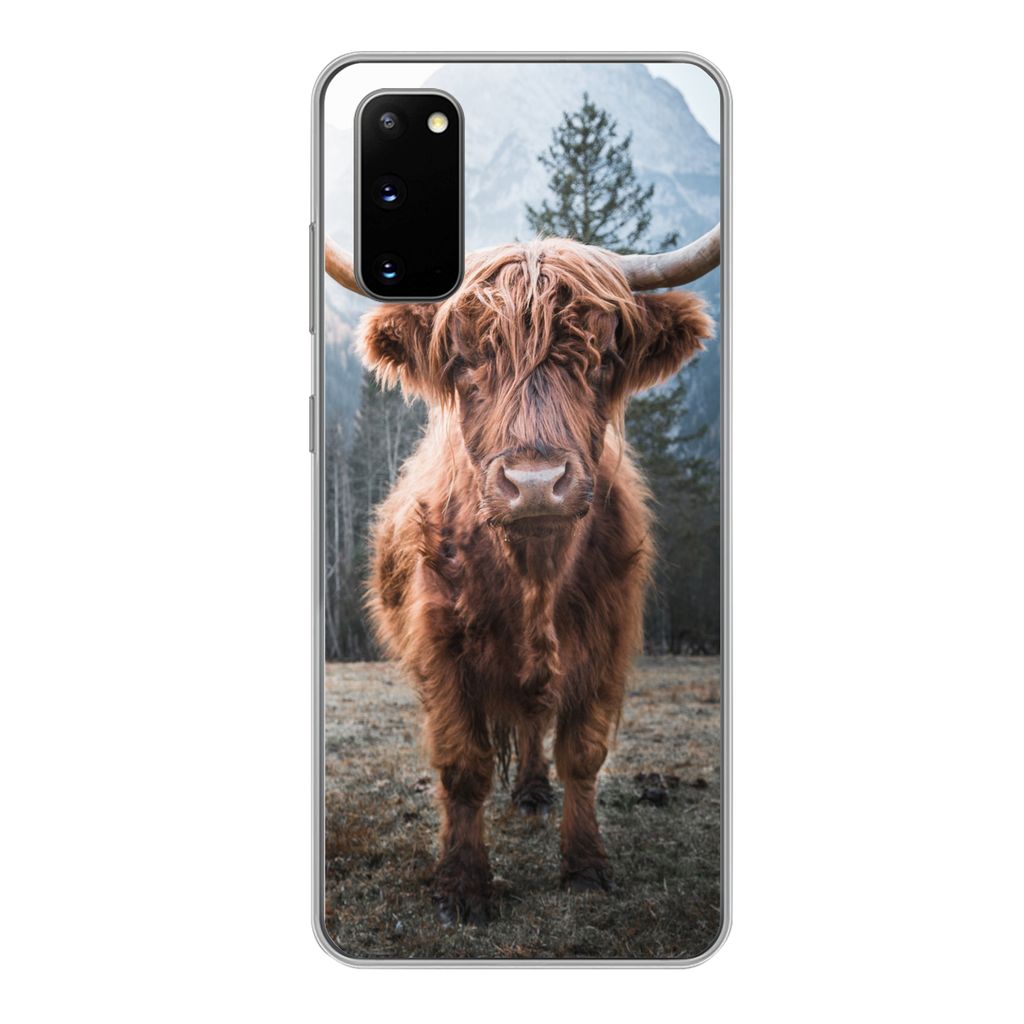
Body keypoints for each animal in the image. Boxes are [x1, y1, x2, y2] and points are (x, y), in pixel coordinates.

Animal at [325, 227, 720, 924]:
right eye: (464, 359)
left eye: (601, 356)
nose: (535, 483)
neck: (534, 573)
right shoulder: (440, 649)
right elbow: (463, 764)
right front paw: (462, 884)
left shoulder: (607, 642)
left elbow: (582, 755)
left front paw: (585, 866)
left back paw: (535, 793)